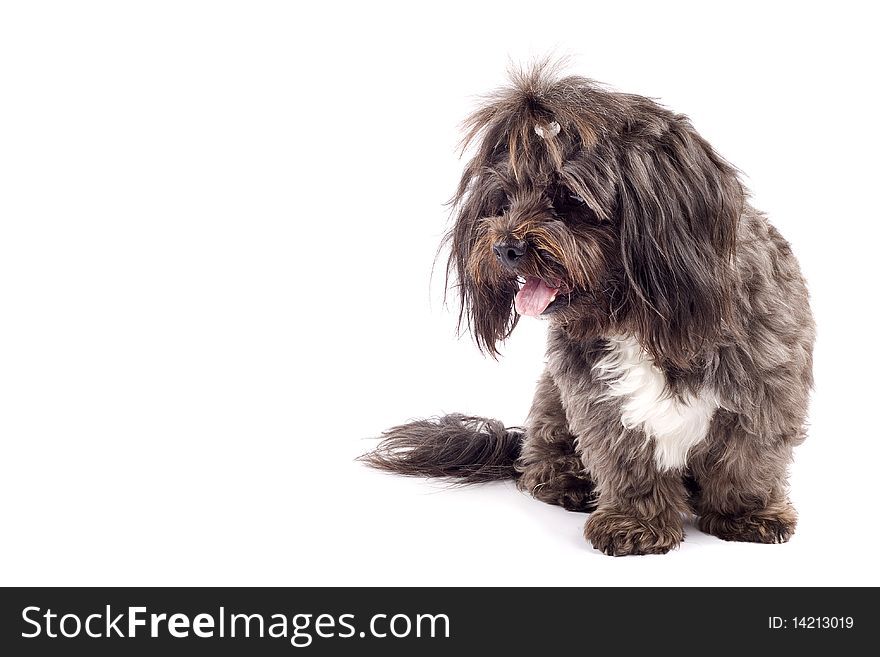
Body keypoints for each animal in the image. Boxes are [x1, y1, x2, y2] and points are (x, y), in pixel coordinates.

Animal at [360, 62, 816, 552]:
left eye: (571, 198)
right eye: (503, 199)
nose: (504, 248)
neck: (638, 317)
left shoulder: (766, 386)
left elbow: (746, 459)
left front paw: (747, 514)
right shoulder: (595, 397)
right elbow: (627, 460)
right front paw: (635, 523)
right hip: (550, 400)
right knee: (539, 460)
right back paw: (570, 484)